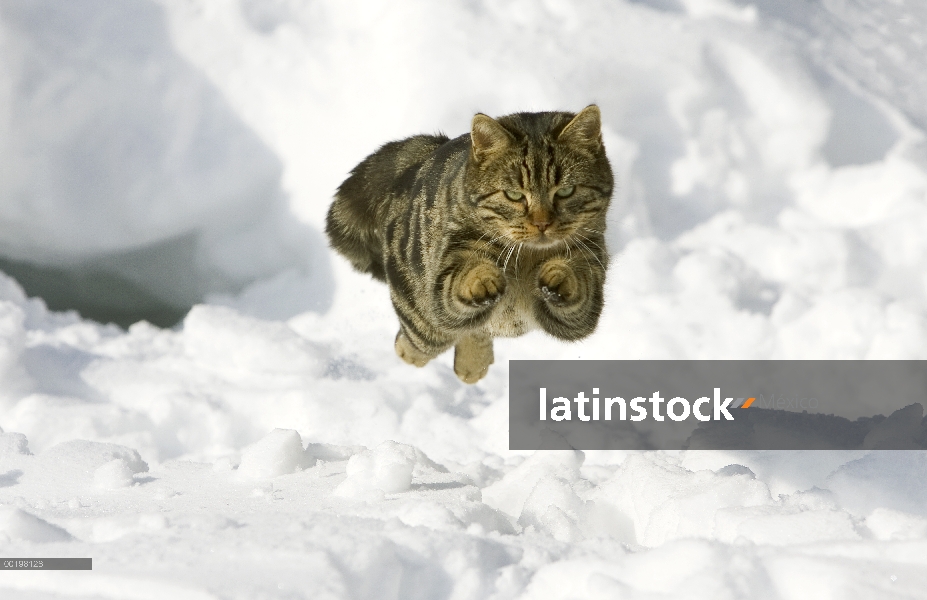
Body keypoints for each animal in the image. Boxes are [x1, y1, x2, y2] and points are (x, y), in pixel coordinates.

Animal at [326, 105, 616, 382]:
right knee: (413, 344)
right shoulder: (446, 279)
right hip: (424, 323)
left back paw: (472, 364)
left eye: (566, 191)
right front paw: (482, 279)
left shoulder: (584, 301)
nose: (542, 223)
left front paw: (559, 275)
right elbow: (463, 275)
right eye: (514, 195)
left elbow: (577, 277)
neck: (526, 257)